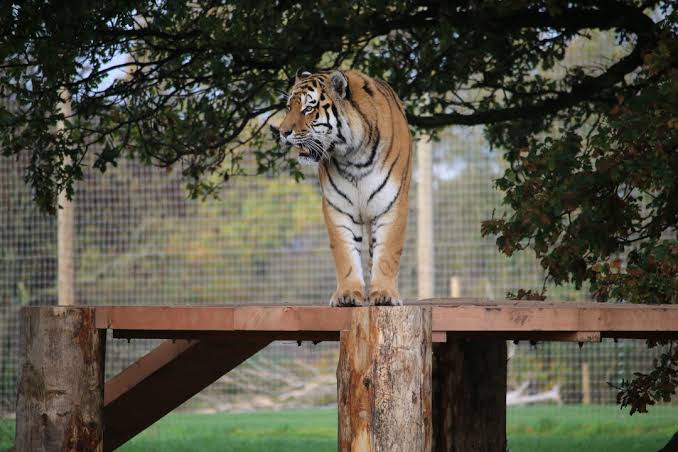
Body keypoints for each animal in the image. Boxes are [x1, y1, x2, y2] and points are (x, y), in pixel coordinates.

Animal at [271, 69, 412, 307]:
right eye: (289, 107)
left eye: (308, 108)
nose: (282, 132)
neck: (354, 156)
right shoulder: (338, 208)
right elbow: (345, 254)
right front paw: (348, 295)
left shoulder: (391, 204)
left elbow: (387, 253)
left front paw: (384, 294)